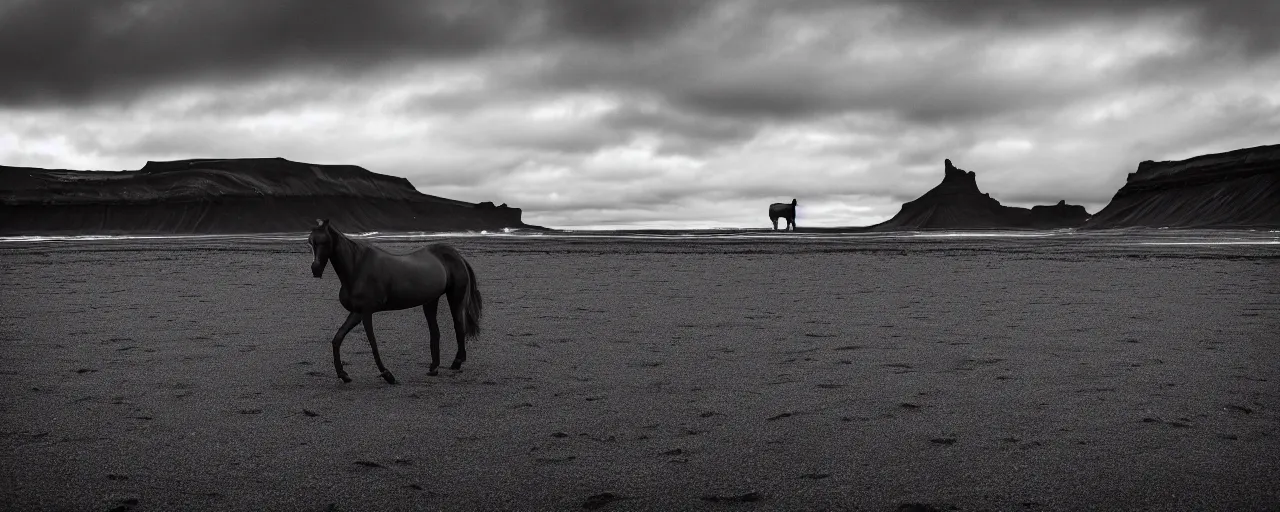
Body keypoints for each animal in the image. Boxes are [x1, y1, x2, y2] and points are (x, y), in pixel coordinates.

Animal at [307, 218, 481, 384]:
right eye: (310, 242)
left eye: (324, 241)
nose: (315, 269)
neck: (357, 267)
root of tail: (457, 256)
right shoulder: (357, 313)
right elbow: (337, 339)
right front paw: (343, 375)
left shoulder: (366, 312)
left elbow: (373, 343)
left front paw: (387, 375)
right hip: (430, 301)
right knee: (435, 332)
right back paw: (434, 368)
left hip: (455, 297)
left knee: (458, 325)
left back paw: (457, 362)